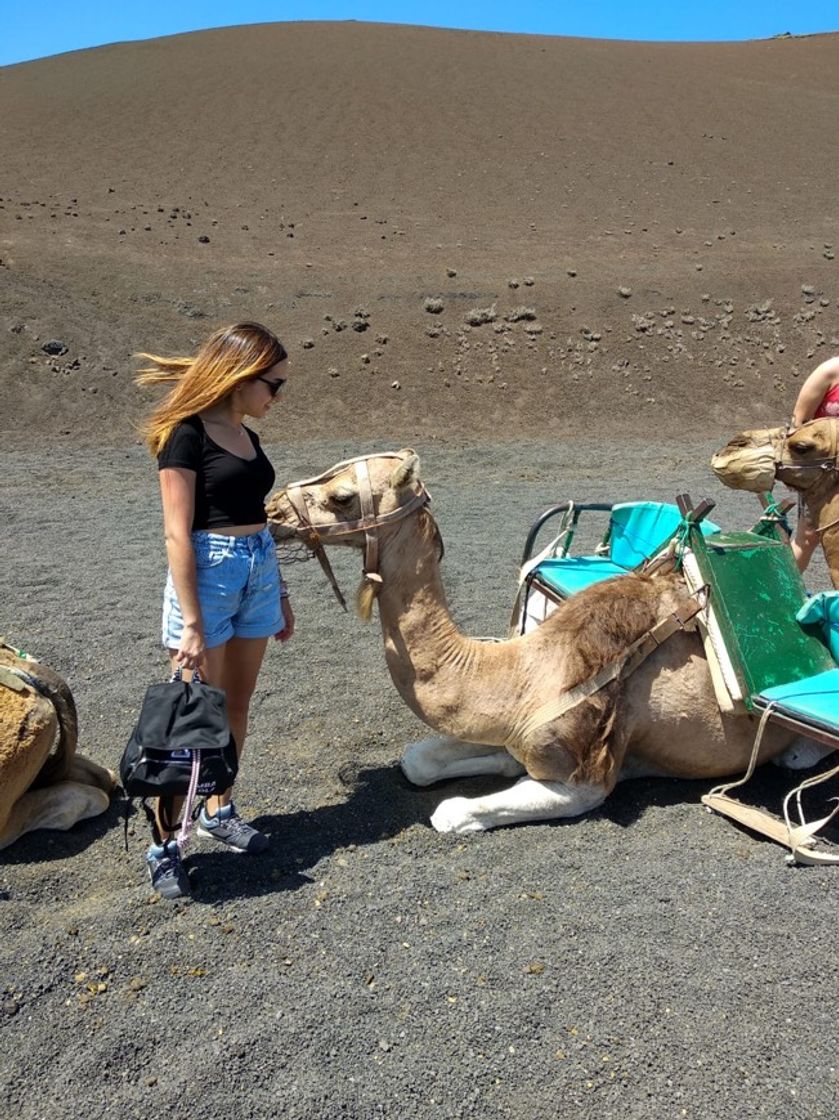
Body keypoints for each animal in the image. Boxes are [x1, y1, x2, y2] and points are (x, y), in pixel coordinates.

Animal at [265, 452, 802, 833]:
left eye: (342, 496)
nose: (270, 508)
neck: (521, 670)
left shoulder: (584, 780)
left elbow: (451, 812)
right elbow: (419, 760)